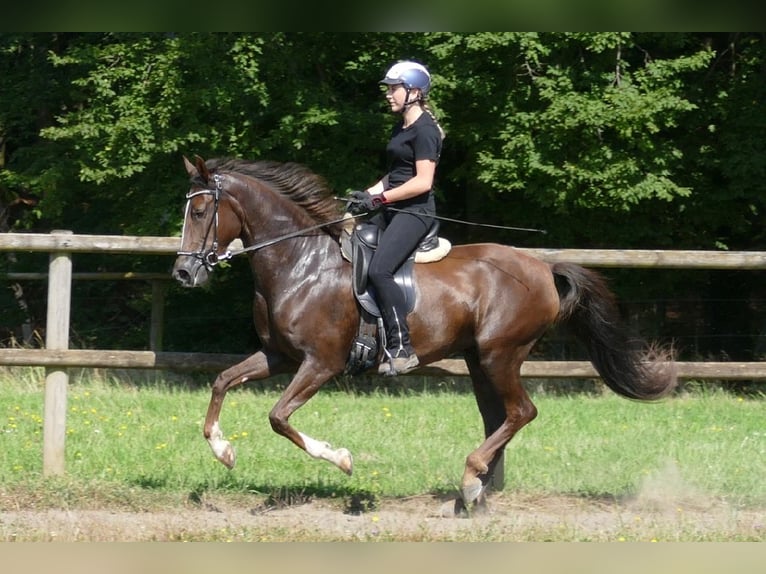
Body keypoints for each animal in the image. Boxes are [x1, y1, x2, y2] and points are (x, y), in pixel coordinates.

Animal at [171, 155, 676, 516]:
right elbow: (222, 381)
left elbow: (278, 417)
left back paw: (471, 479)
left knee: (521, 412)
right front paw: (223, 451)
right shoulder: (279, 356)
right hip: (478, 360)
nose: (182, 274)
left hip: (501, 353)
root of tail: (542, 268)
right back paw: (474, 495)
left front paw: (341, 458)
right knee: (498, 418)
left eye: (200, 210)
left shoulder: (320, 363)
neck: (300, 263)